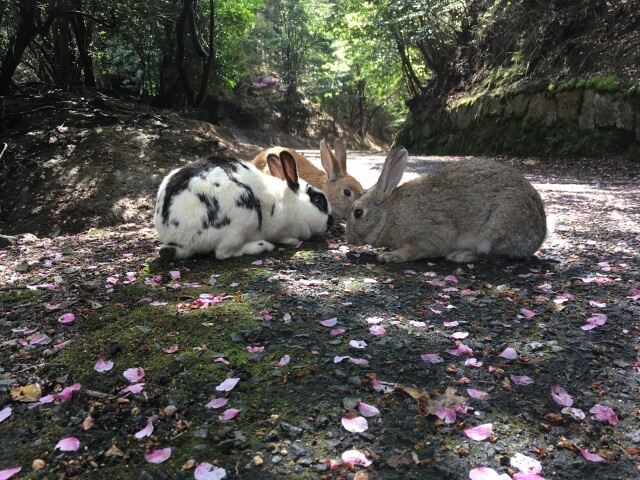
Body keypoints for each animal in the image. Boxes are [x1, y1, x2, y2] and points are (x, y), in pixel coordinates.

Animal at [155, 152, 336, 260]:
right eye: (318, 201)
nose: (331, 222)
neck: (291, 202)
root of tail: (174, 238)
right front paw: (291, 241)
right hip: (241, 222)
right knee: (223, 253)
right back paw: (262, 246)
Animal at [348, 148, 548, 264]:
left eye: (358, 213)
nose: (348, 239)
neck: (388, 214)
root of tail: (540, 235)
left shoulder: (428, 236)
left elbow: (416, 249)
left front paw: (390, 256)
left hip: (495, 228)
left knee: (490, 253)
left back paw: (459, 256)